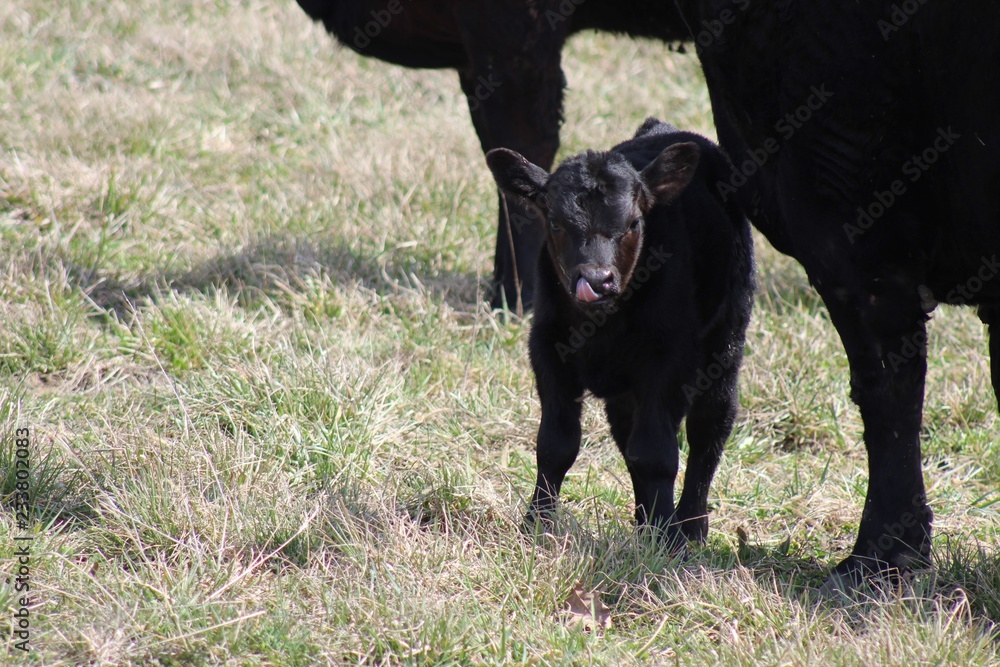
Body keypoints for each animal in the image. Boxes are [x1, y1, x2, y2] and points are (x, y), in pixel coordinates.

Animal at [486, 118, 754, 545]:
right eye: (556, 223)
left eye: (633, 223)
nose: (597, 280)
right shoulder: (546, 347)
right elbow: (556, 444)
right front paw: (537, 524)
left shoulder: (669, 357)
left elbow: (656, 453)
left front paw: (667, 541)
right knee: (627, 434)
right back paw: (646, 524)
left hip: (726, 342)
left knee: (710, 427)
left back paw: (690, 526)